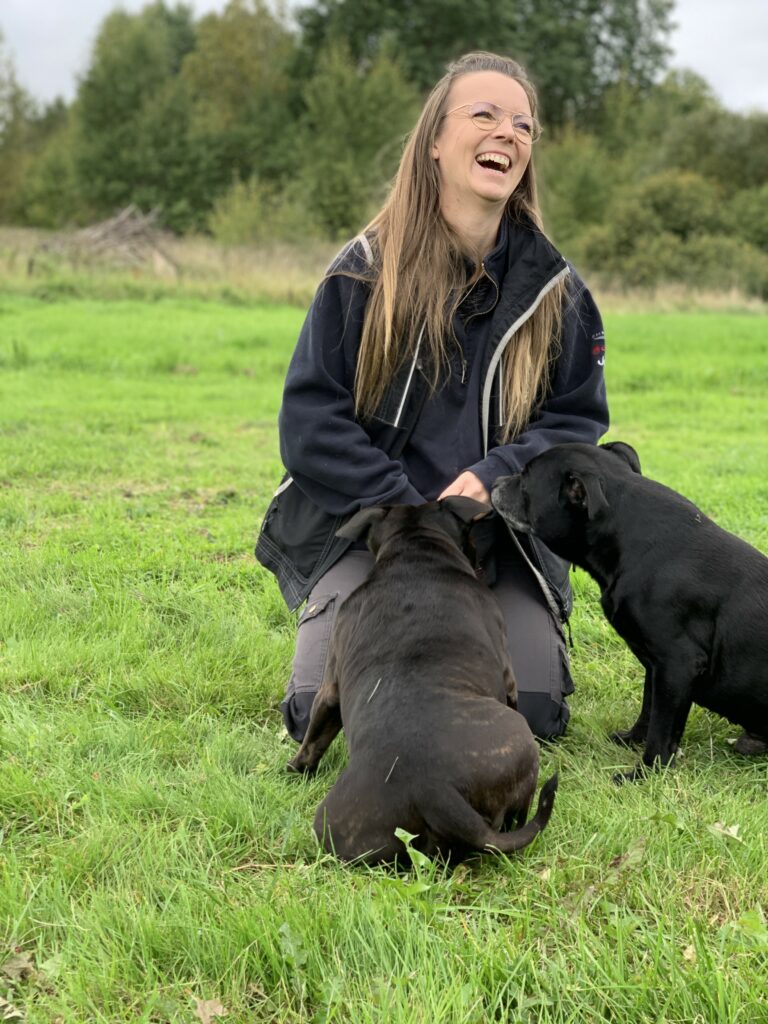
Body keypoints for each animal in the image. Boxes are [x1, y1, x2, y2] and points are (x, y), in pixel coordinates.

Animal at [288, 495, 561, 864]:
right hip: (521, 744)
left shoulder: (330, 686)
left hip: (338, 828)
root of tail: (434, 789)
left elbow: (314, 738)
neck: (414, 553)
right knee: (516, 818)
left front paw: (294, 768)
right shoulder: (509, 678)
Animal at [493, 442, 768, 782]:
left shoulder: (677, 662)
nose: (495, 482)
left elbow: (663, 728)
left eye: (526, 477)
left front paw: (644, 772)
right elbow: (648, 710)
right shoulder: (656, 665)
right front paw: (631, 740)